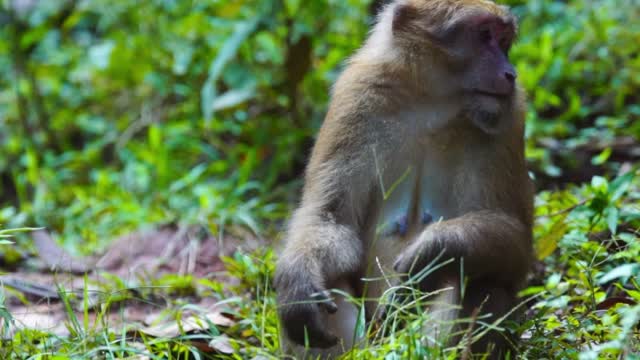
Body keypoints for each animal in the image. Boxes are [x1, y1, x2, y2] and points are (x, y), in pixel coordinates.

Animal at [276, 0, 536, 358]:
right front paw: (298, 283)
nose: (510, 73)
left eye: (504, 40)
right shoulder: (356, 97)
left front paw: (434, 252)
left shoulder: (508, 116)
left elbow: (515, 239)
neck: (433, 103)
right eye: (484, 35)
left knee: (485, 278)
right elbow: (330, 217)